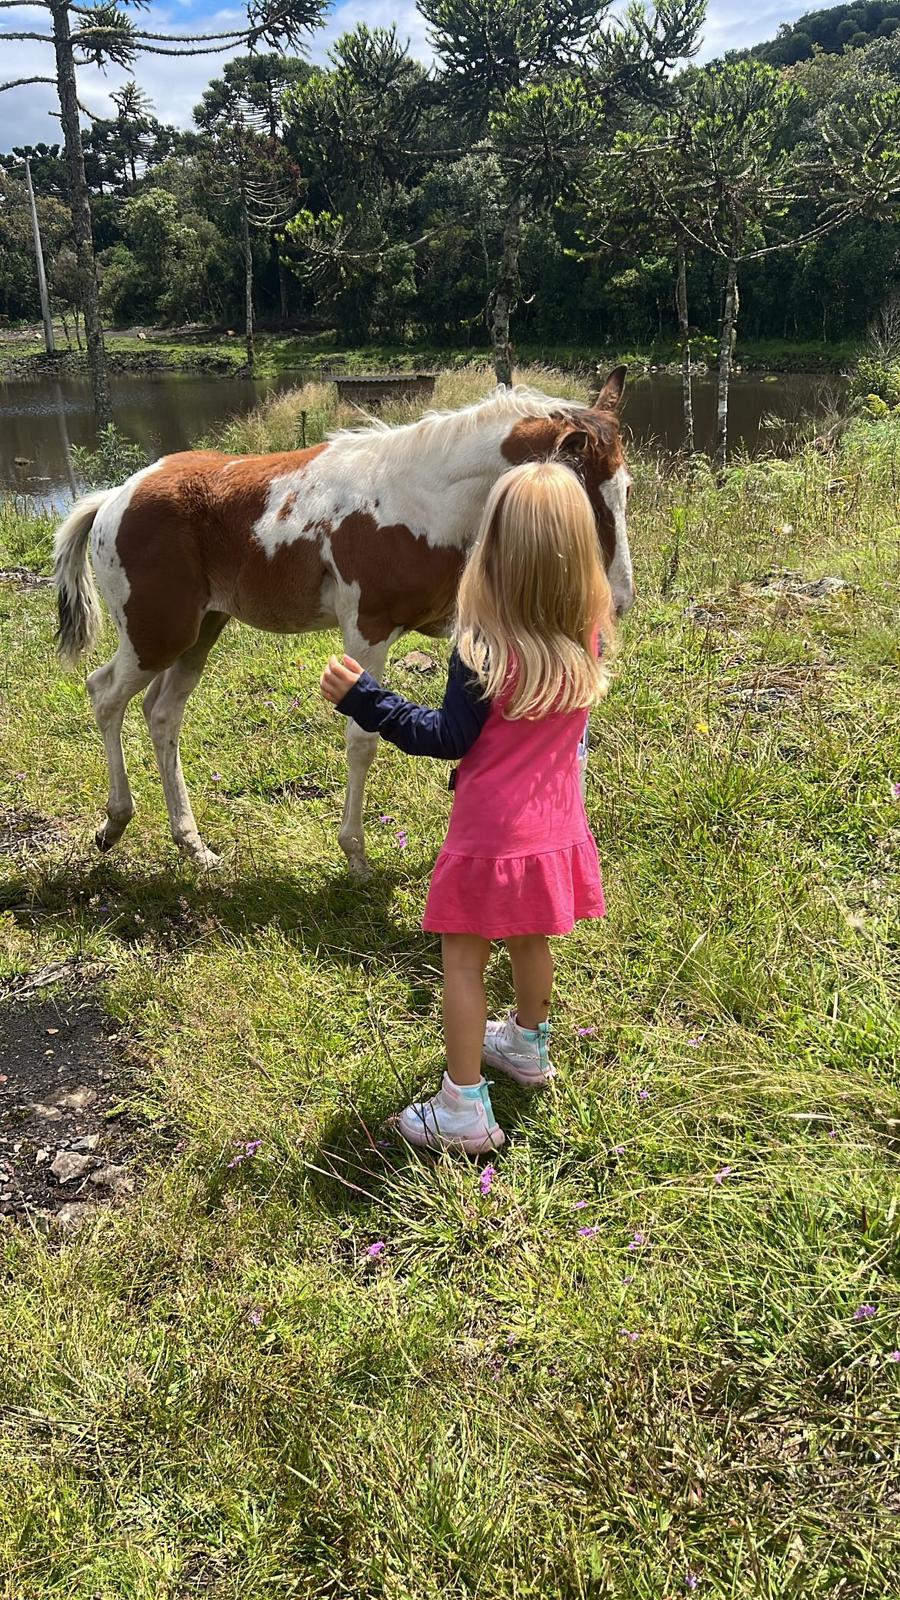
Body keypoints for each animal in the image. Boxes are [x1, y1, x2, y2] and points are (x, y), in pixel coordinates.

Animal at [53, 370, 634, 877]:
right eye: (584, 498)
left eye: (626, 489)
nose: (619, 600)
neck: (422, 500)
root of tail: (112, 499)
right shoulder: (367, 632)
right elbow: (363, 741)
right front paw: (355, 855)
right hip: (157, 634)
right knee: (104, 694)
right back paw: (115, 823)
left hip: (201, 631)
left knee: (162, 714)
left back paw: (193, 845)